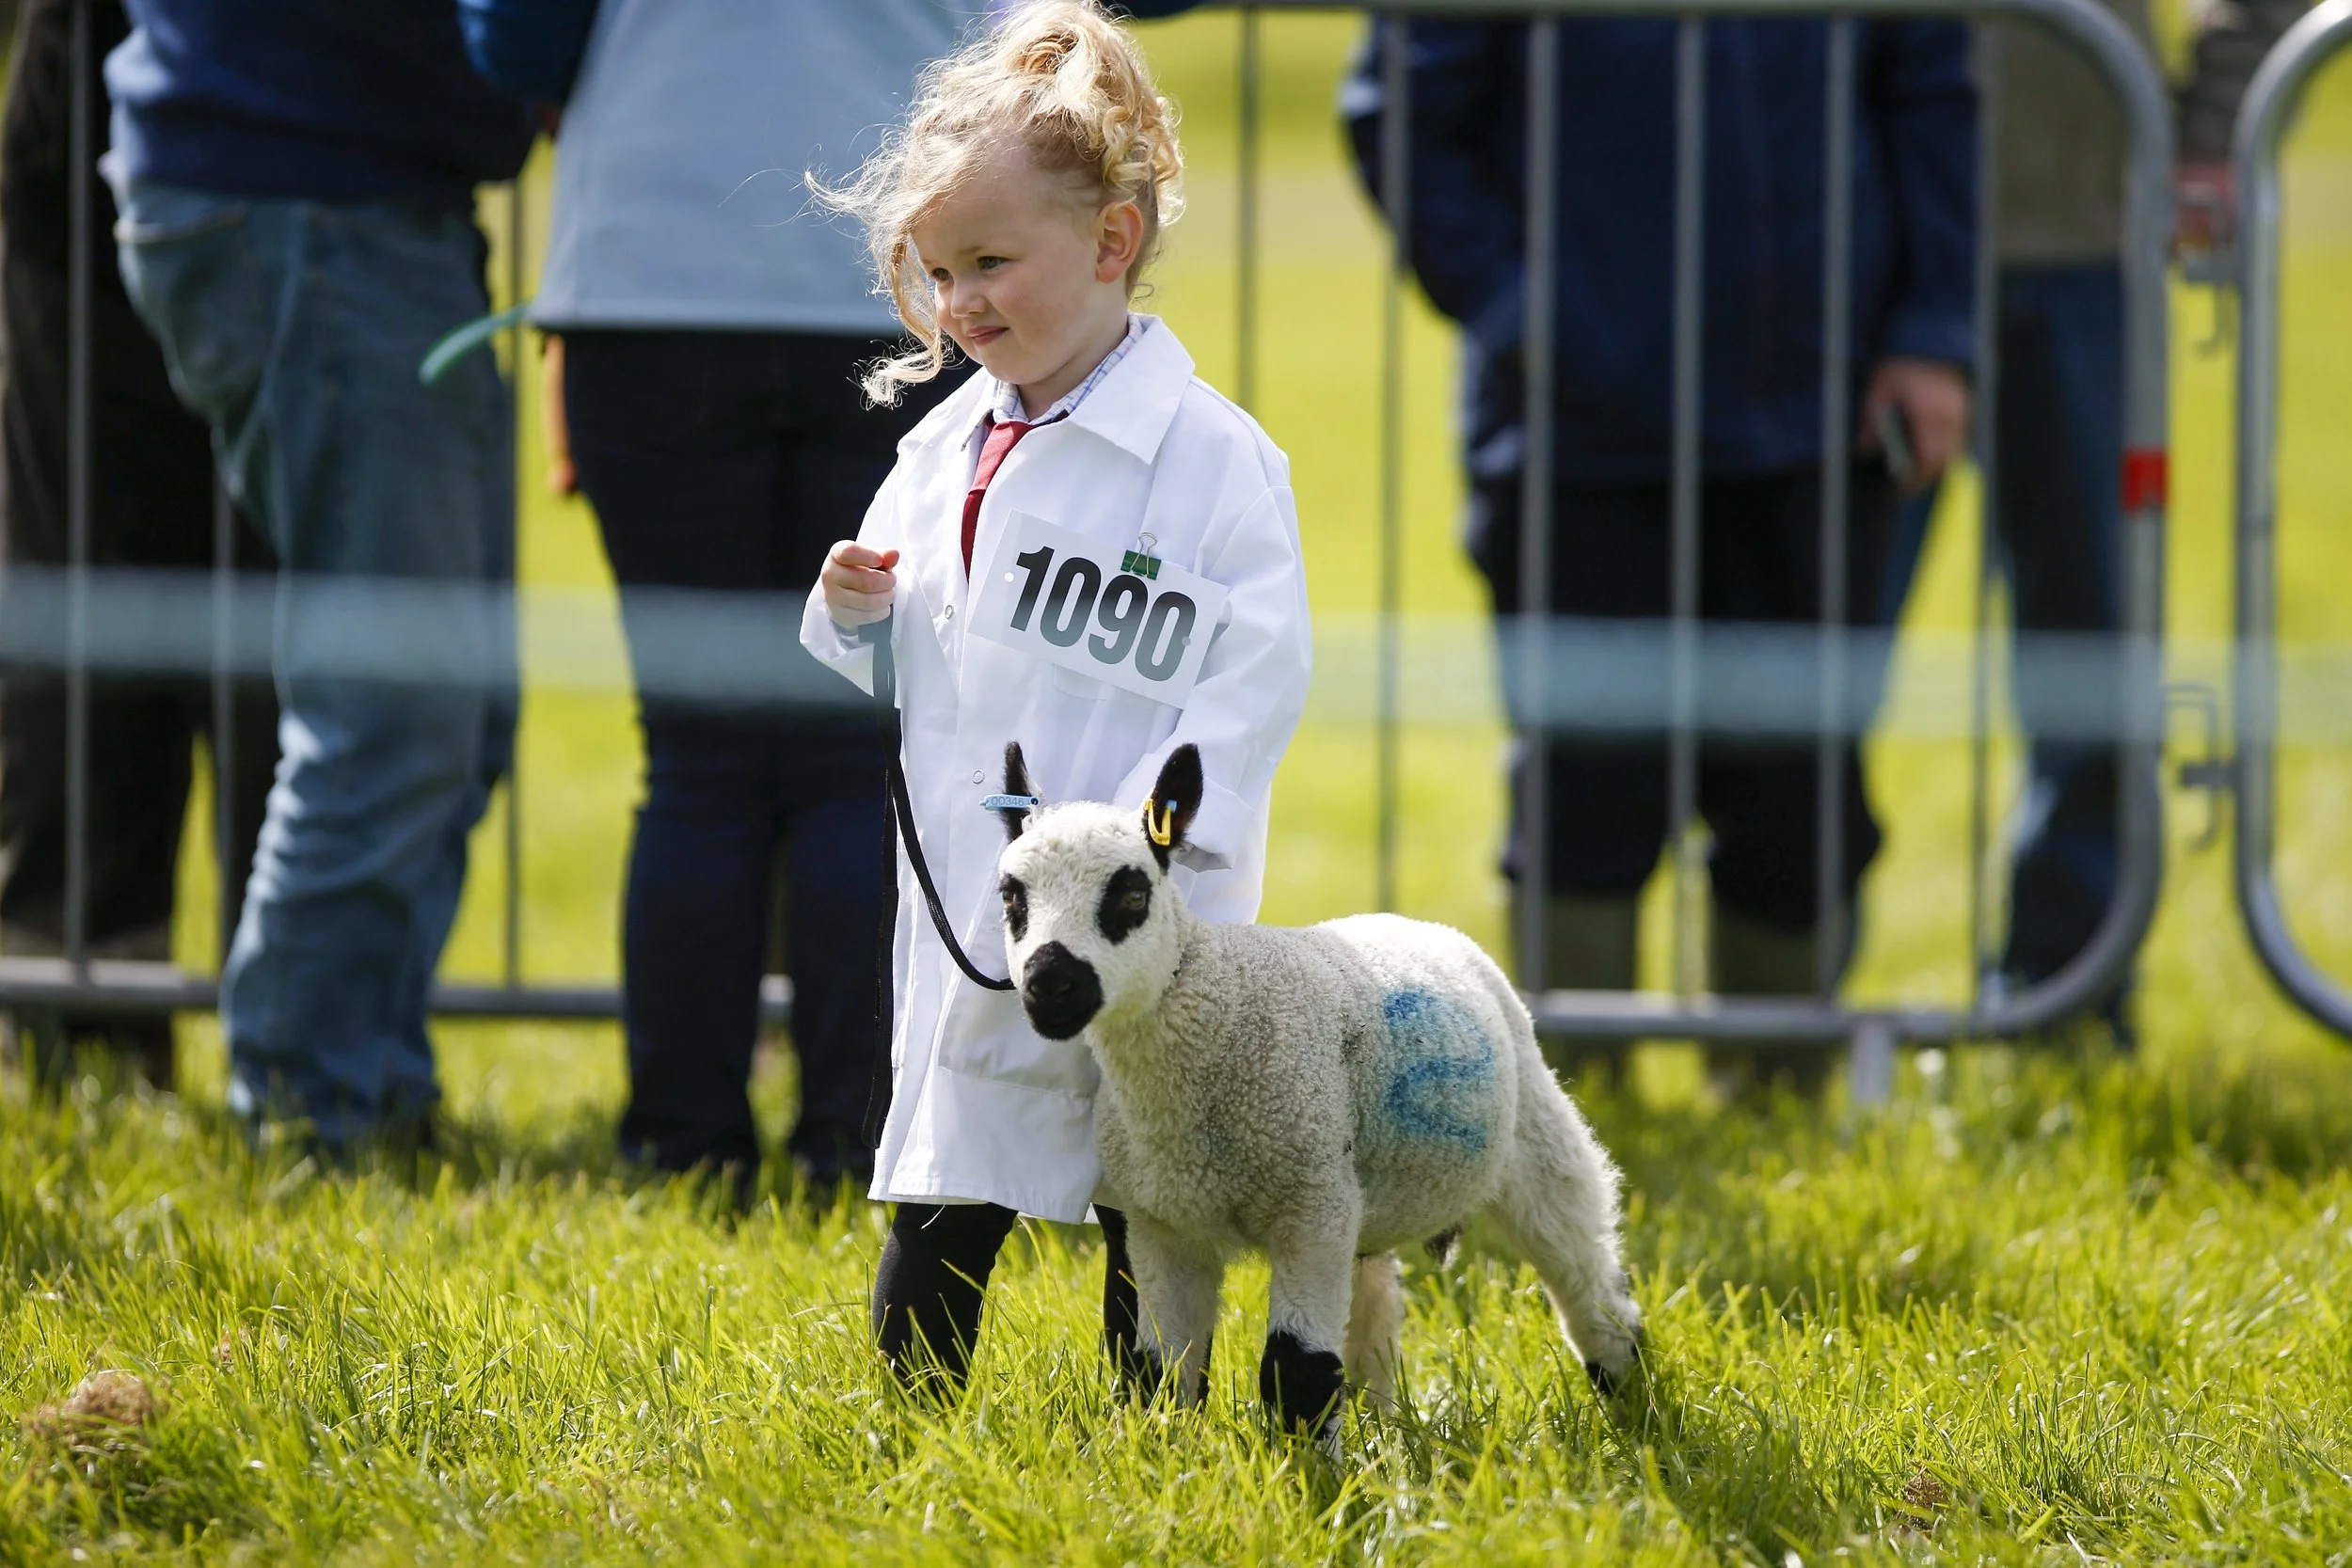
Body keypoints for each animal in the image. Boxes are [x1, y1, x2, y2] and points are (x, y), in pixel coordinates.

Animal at [991, 740, 1643, 1446]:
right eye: (1011, 897)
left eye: (1133, 894)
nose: (1050, 983)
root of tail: (1426, 926)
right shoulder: (1164, 1225)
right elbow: (1158, 1371)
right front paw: (1166, 1454)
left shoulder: (1309, 1206)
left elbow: (1296, 1372)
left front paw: (1302, 1472)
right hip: (1362, 1189)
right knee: (1378, 1304)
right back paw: (1384, 1426)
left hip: (1533, 1134)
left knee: (1591, 1282)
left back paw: (1637, 1413)